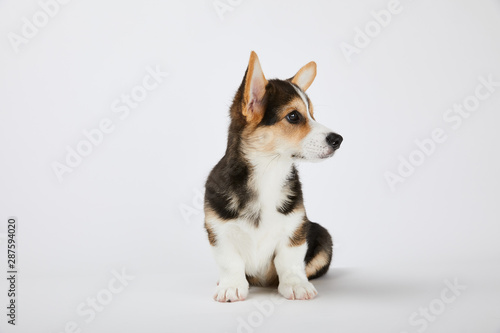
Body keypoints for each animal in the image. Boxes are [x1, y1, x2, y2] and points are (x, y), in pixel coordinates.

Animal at [204, 51, 344, 300]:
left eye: (312, 114)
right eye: (294, 116)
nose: (339, 140)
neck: (268, 170)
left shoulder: (295, 228)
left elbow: (289, 260)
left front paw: (296, 285)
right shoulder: (218, 229)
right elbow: (230, 262)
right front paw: (230, 287)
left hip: (322, 234)